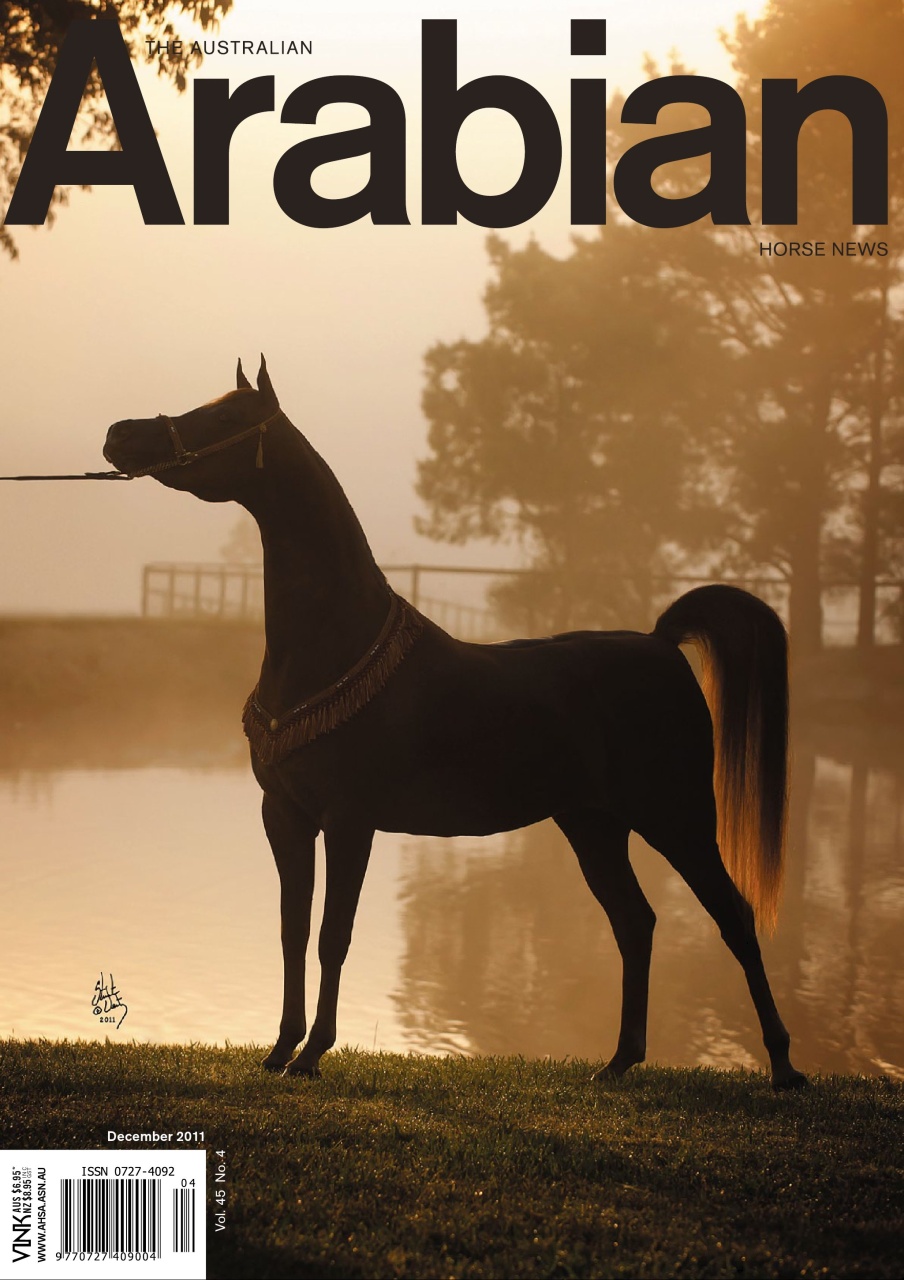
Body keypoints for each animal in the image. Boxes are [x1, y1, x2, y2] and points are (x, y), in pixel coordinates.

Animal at [103, 356, 806, 1089]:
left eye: (224, 417)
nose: (120, 434)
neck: (336, 643)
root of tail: (661, 642)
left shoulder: (350, 819)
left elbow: (333, 935)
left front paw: (314, 1052)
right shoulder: (285, 814)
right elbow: (293, 931)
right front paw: (280, 1048)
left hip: (677, 817)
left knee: (734, 918)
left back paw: (784, 1066)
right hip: (594, 825)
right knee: (634, 922)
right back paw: (617, 1063)